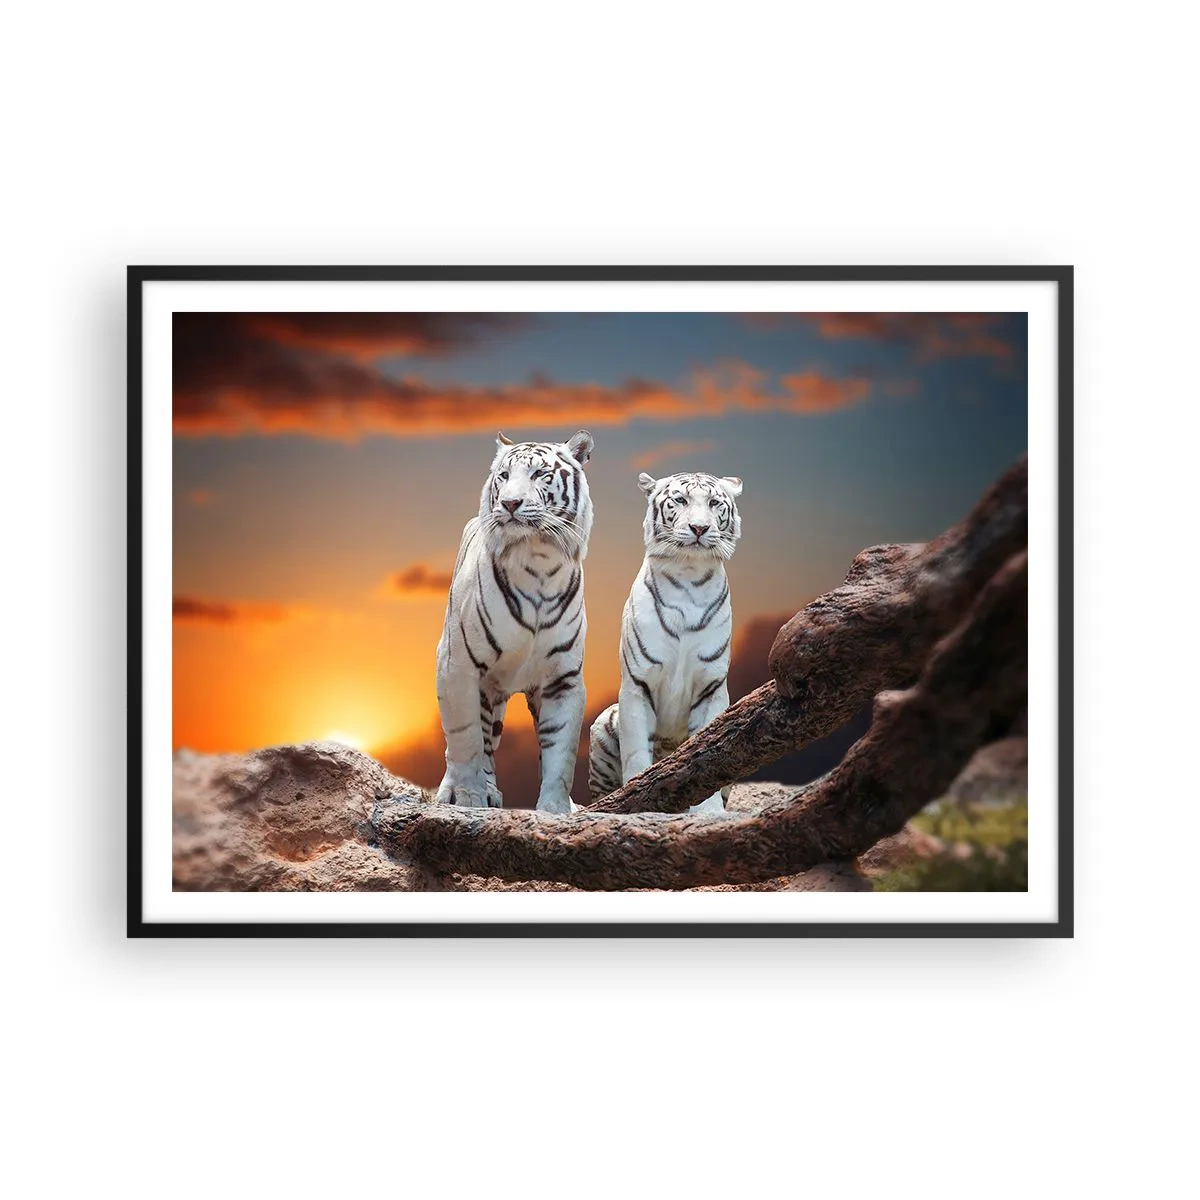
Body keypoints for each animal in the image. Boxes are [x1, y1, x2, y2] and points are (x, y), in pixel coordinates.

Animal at [435, 429, 595, 814]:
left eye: (540, 474)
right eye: (504, 476)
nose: (509, 504)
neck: (538, 559)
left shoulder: (563, 678)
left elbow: (561, 752)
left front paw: (556, 809)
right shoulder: (457, 665)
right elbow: (464, 741)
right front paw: (467, 797)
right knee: (475, 742)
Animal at [588, 470, 743, 813]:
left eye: (714, 503)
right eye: (680, 500)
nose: (699, 528)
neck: (689, 576)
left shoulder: (711, 687)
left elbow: (709, 752)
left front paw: (708, 812)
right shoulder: (637, 683)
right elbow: (636, 753)